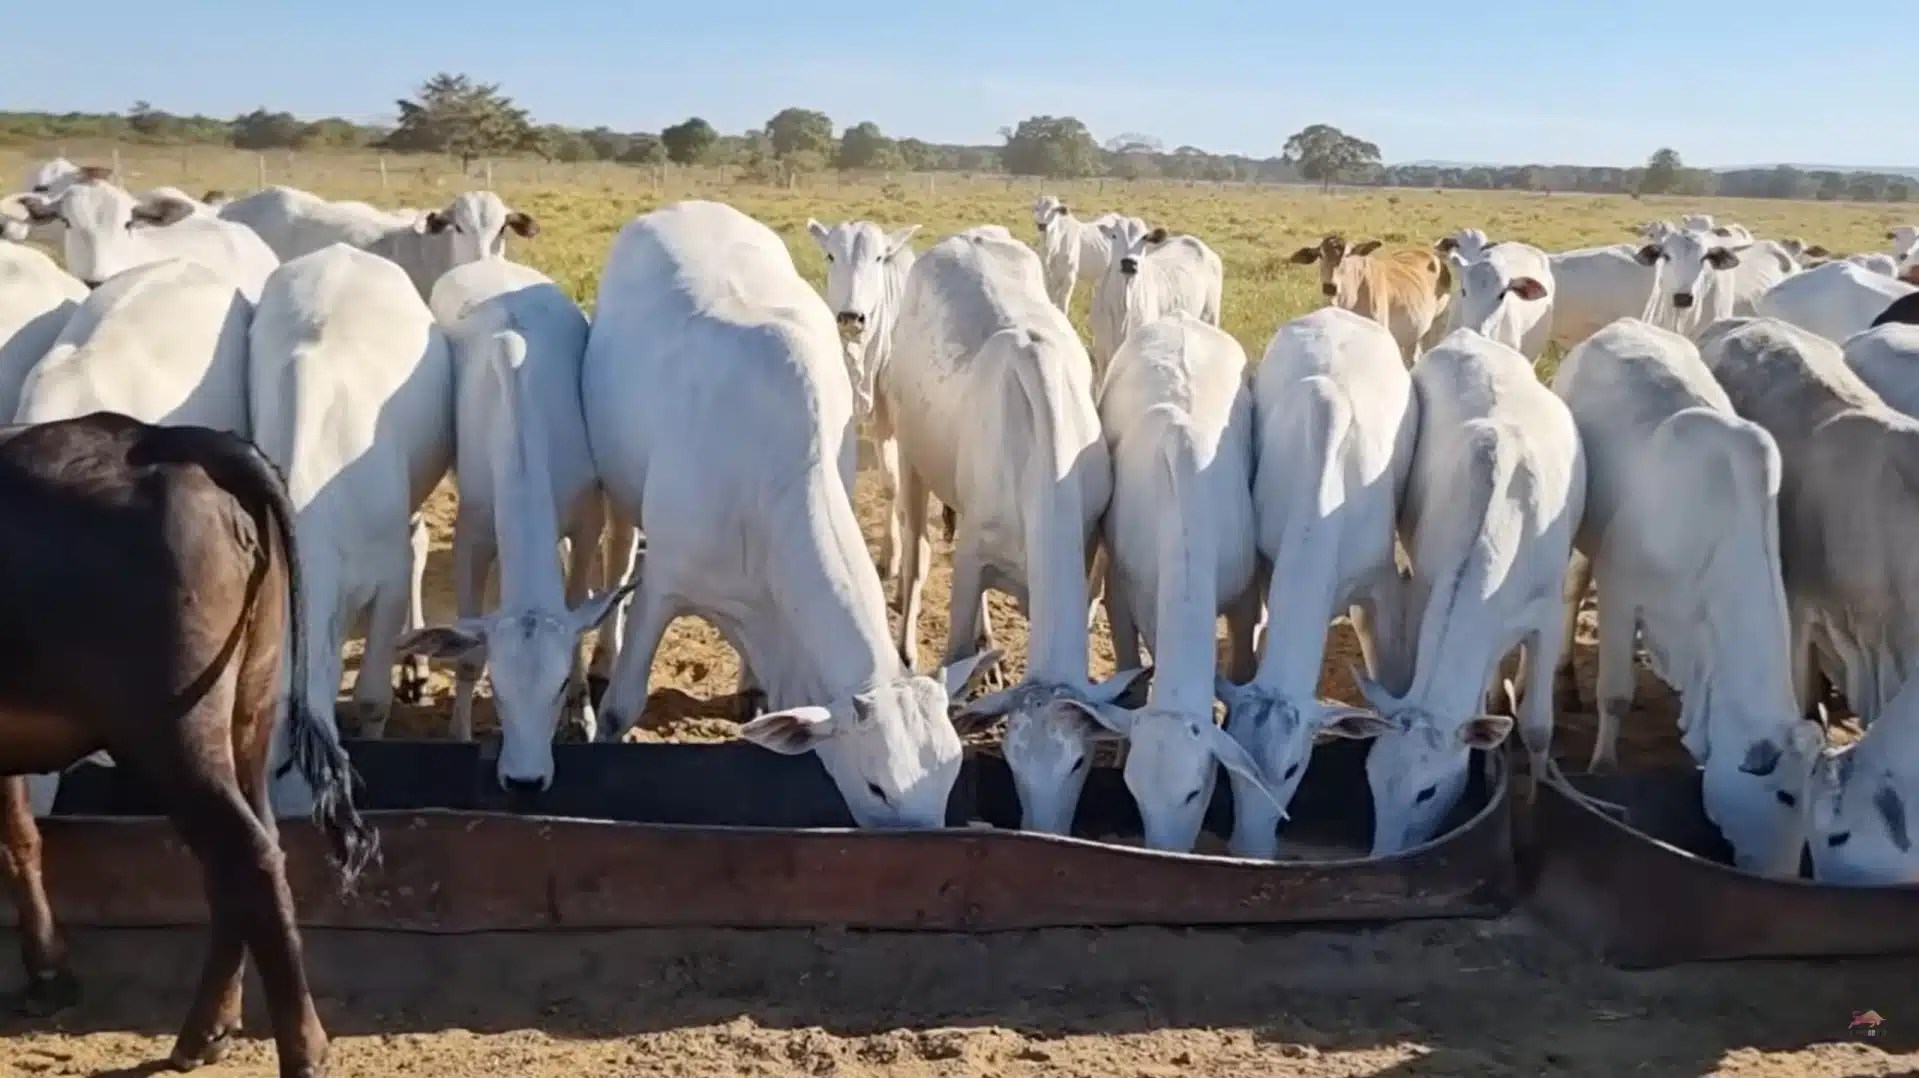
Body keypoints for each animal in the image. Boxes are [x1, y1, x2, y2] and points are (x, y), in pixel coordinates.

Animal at [0, 411, 373, 1076]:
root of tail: (165, 438)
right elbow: (20, 838)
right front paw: (48, 973)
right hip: (247, 716)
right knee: (243, 856)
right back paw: (207, 1030)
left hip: (172, 738)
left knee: (249, 858)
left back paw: (302, 1048)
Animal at [397, 261, 619, 789]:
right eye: (497, 687)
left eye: (559, 685)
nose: (525, 781)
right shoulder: (473, 534)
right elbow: (468, 654)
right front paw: (459, 735)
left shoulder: (588, 518)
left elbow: (576, 610)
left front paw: (582, 716)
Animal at [886, 227, 1132, 833]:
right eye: (1012, 761)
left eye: (1078, 761)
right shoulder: (974, 551)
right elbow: (952, 653)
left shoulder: (1082, 544)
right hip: (910, 452)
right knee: (918, 548)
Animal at [1349, 329, 1585, 856]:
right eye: (1370, 774)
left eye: (1427, 791)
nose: (1385, 853)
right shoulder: (1424, 590)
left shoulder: (1546, 616)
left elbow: (1538, 728)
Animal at [1552, 319, 1821, 875]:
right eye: (1784, 796)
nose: (1783, 875)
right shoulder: (1620, 591)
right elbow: (1615, 695)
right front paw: (1603, 766)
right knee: (1570, 590)